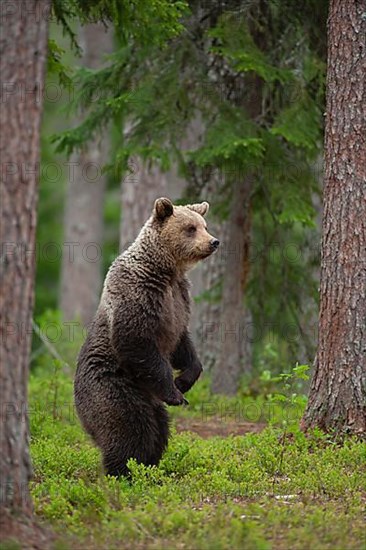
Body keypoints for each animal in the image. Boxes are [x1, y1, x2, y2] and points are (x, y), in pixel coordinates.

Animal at [73, 198, 219, 478]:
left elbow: (182, 344)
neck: (166, 270)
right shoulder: (139, 293)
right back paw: (125, 471)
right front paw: (175, 393)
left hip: (150, 401)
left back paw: (149, 467)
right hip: (114, 387)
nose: (214, 241)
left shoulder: (179, 299)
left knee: (159, 430)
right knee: (131, 428)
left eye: (205, 225)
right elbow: (137, 340)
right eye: (190, 228)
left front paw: (184, 380)